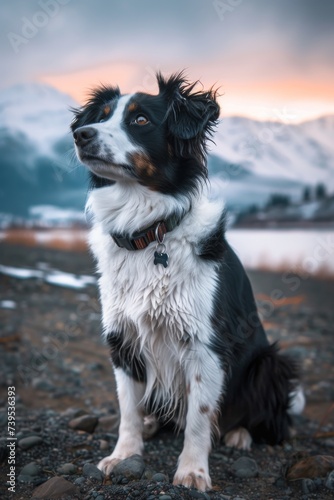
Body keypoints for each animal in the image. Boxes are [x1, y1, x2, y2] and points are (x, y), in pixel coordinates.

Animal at [71, 74, 306, 492]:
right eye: (100, 117)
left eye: (141, 120)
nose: (81, 134)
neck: (149, 233)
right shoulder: (122, 339)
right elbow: (128, 409)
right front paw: (124, 454)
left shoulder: (205, 345)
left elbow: (199, 416)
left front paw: (193, 471)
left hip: (270, 362)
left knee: (269, 420)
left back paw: (240, 434)